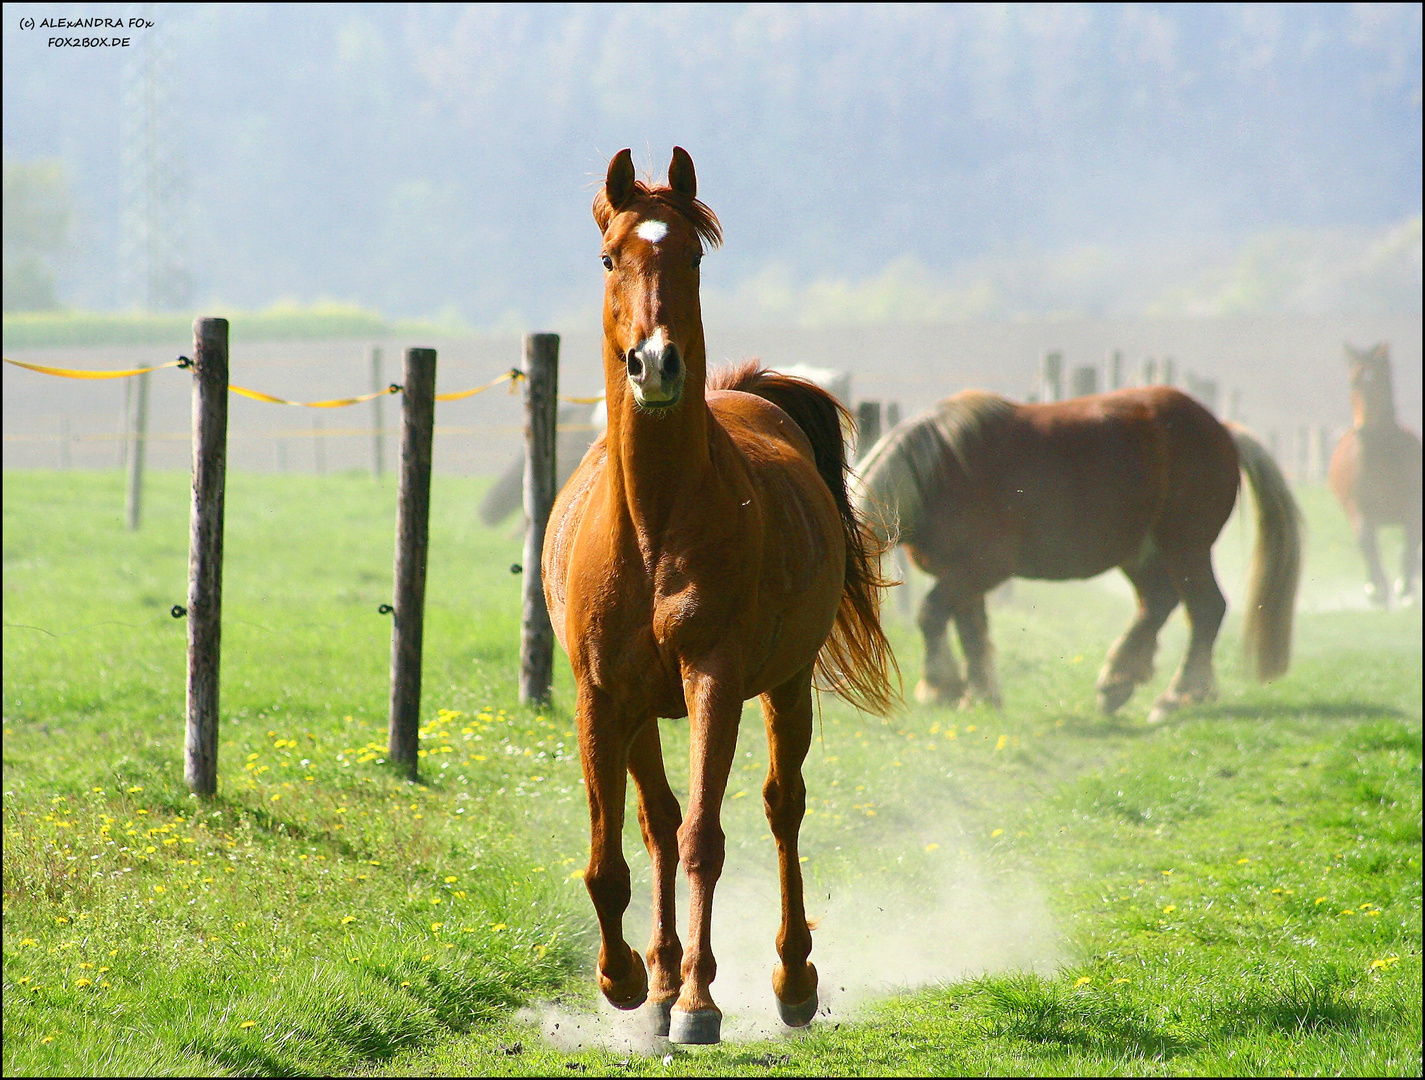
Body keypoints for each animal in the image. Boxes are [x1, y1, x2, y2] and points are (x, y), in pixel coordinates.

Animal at [538, 148, 894, 1042]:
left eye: (693, 259)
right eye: (608, 258)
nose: (656, 364)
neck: (654, 524)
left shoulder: (715, 681)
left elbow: (706, 836)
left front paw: (700, 1002)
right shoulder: (601, 696)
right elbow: (611, 856)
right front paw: (628, 980)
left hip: (786, 687)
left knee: (780, 808)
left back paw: (790, 980)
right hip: (639, 712)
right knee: (657, 826)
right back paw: (661, 981)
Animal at [843, 384, 1305, 723]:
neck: (938, 472)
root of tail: (1223, 430)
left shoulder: (980, 570)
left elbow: (932, 615)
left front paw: (941, 685)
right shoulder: (960, 576)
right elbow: (970, 631)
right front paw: (980, 693)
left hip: (1186, 548)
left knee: (1207, 608)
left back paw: (1177, 695)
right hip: (1142, 553)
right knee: (1158, 604)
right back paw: (1118, 682)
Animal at [1328, 341, 1419, 604]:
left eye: (1379, 380)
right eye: (1354, 382)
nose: (1365, 430)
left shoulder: (1413, 506)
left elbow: (1411, 540)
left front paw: (1404, 586)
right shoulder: (1358, 508)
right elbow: (1366, 541)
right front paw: (1376, 589)